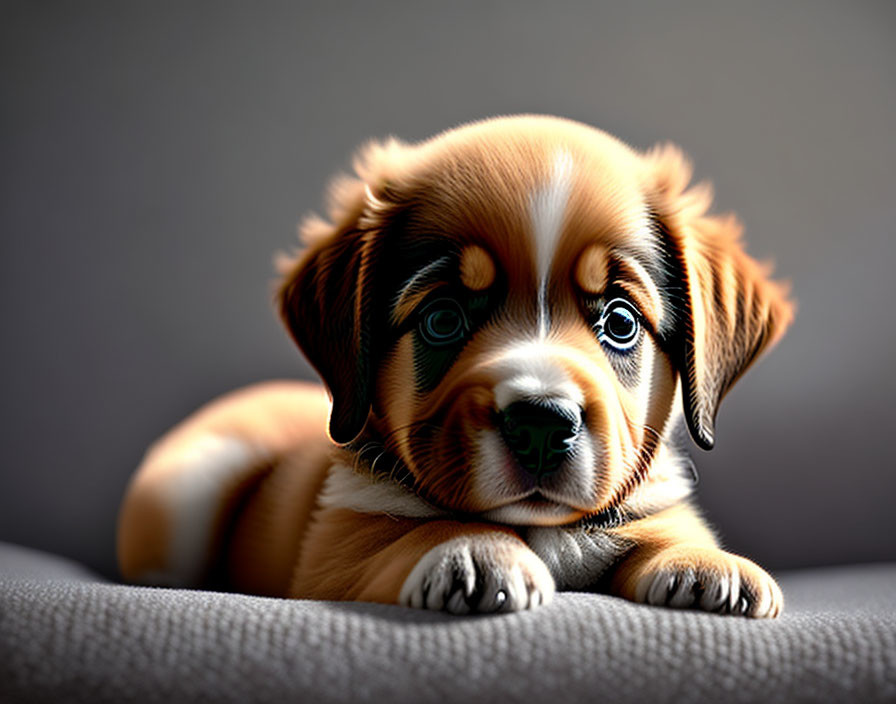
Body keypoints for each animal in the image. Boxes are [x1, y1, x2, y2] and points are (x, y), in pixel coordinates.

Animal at [117, 115, 792, 616]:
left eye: (621, 323)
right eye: (442, 320)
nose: (541, 425)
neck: (536, 528)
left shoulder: (649, 504)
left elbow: (667, 529)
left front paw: (707, 565)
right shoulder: (336, 545)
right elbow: (413, 530)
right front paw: (473, 551)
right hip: (188, 485)